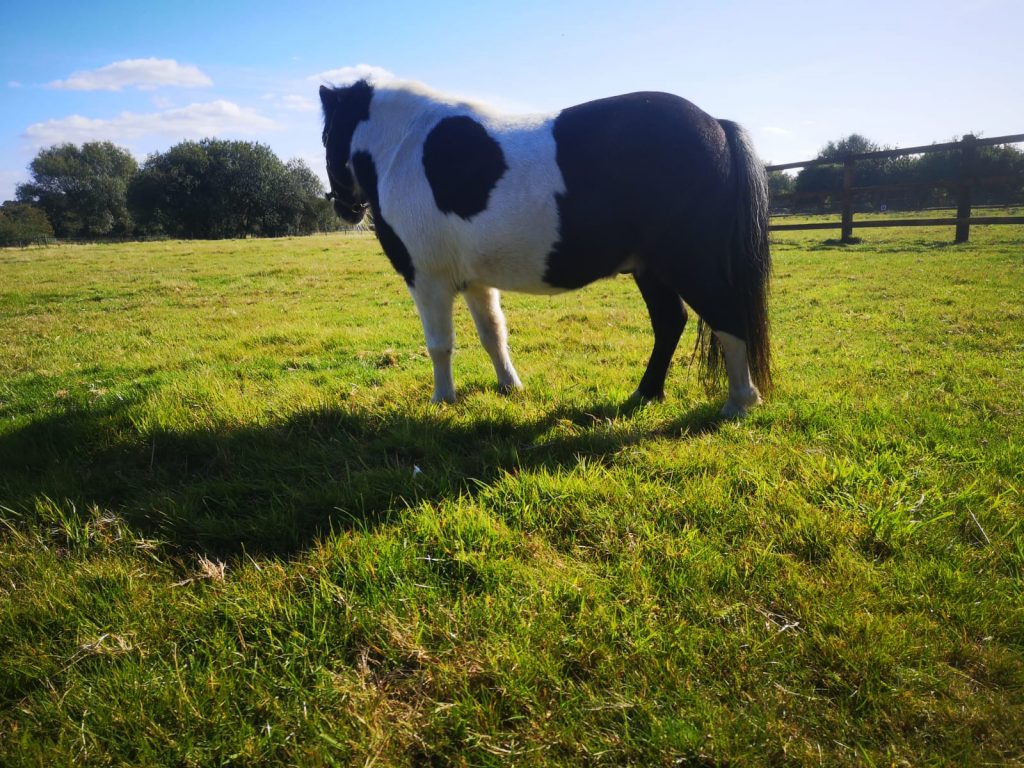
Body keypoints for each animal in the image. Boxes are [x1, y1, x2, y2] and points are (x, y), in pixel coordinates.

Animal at [315, 78, 770, 417]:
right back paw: (645, 394)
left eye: (325, 134)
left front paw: (442, 400)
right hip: (651, 268)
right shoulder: (475, 281)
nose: (342, 206)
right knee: (670, 322)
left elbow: (439, 344)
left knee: (726, 317)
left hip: (687, 264)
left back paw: (740, 402)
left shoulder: (427, 279)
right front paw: (509, 387)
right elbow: (493, 335)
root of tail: (716, 125)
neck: (405, 149)